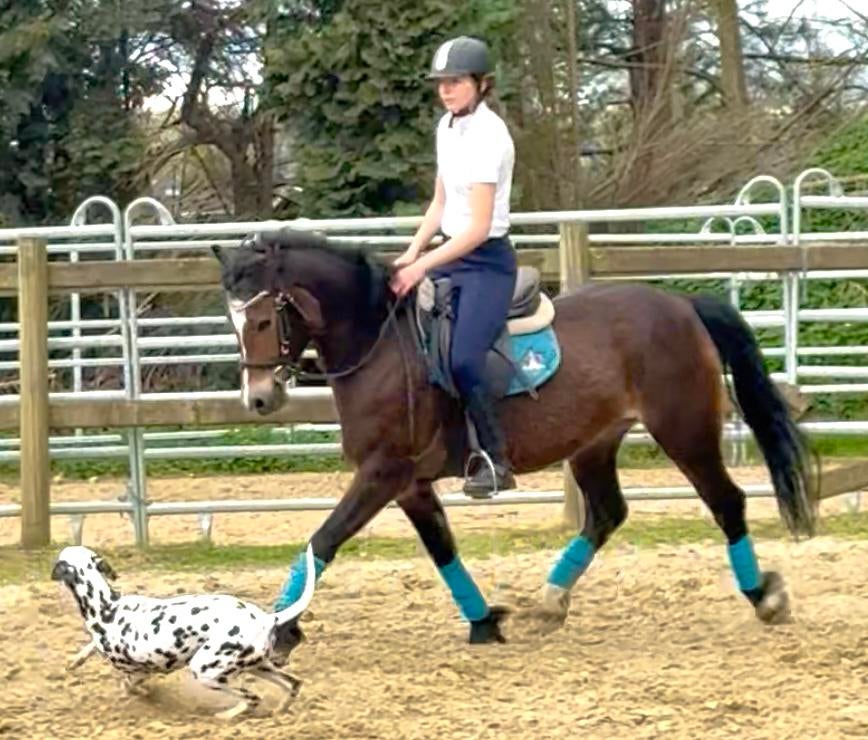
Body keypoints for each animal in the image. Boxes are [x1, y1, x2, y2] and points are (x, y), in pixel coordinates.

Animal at [212, 228, 817, 653]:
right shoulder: (409, 484)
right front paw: (484, 623)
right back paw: (549, 604)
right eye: (233, 320)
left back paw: (763, 597)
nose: (259, 399)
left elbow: (322, 541)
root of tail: (681, 304)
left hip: (683, 430)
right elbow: (442, 550)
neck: (378, 342)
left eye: (263, 319)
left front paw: (279, 630)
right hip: (594, 442)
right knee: (606, 513)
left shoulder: (383, 472)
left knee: (726, 502)